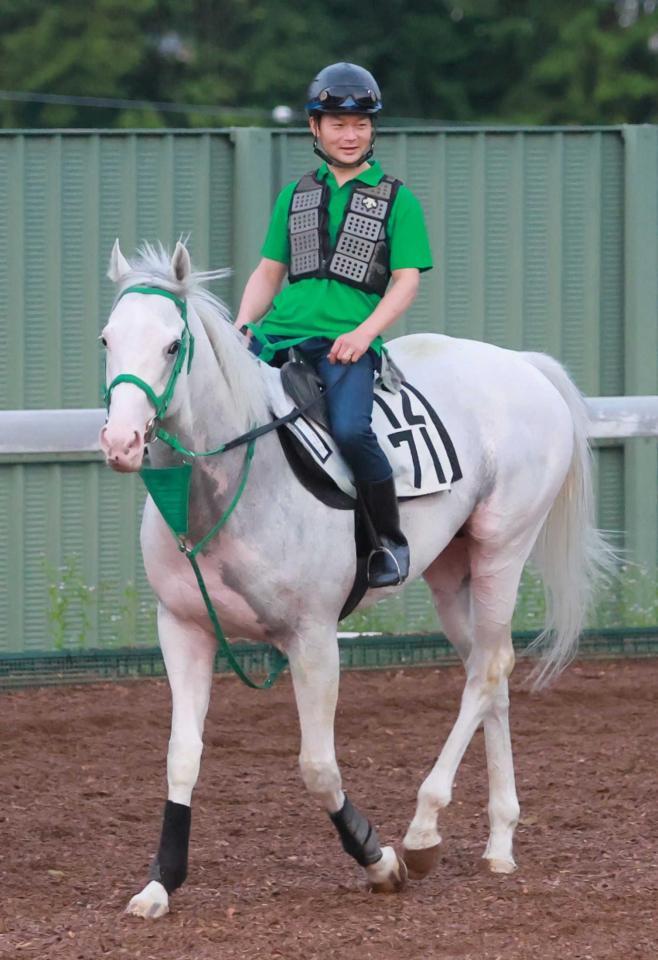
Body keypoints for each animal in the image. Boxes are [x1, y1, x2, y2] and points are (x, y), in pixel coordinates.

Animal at [100, 240, 608, 916]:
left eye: (171, 345)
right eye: (107, 339)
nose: (121, 442)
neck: (230, 483)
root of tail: (523, 366)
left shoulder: (313, 640)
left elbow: (318, 767)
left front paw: (379, 858)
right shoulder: (183, 629)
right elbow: (182, 757)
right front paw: (160, 882)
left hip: (503, 550)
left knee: (487, 671)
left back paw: (422, 831)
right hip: (453, 571)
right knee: (489, 667)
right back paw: (499, 840)